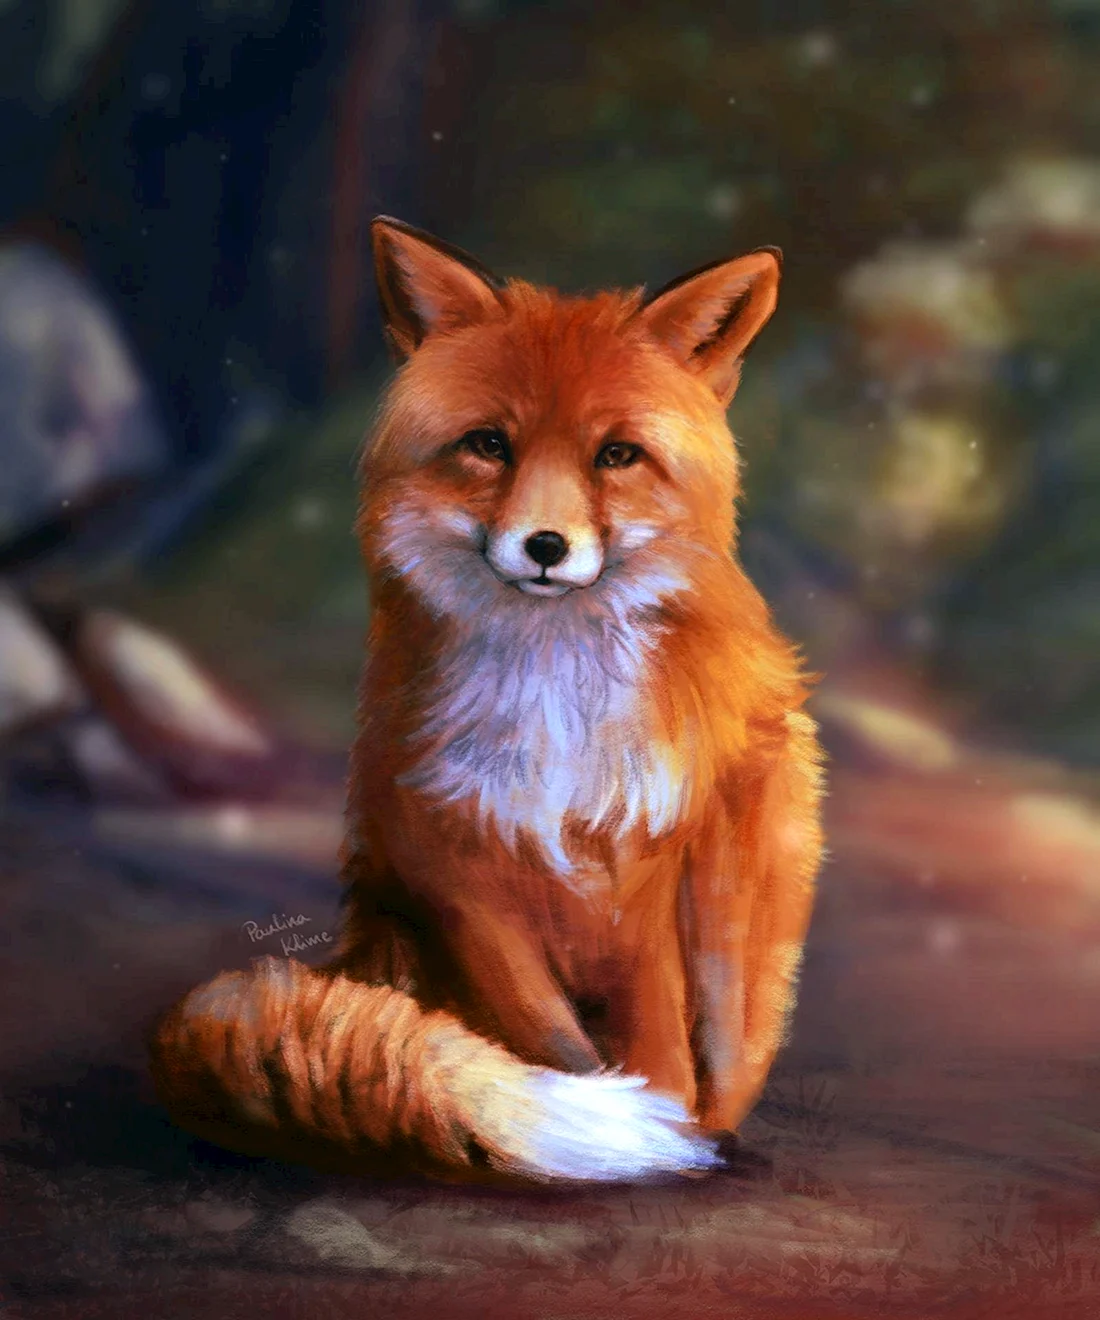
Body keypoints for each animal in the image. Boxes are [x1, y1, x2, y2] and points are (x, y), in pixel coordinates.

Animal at [148, 218, 825, 1184]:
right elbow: (548, 1038)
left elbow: (655, 1037)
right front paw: (618, 1121)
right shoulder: (458, 866)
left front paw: (667, 1123)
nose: (545, 546)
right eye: (489, 445)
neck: (552, 698)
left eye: (616, 455)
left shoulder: (642, 868)